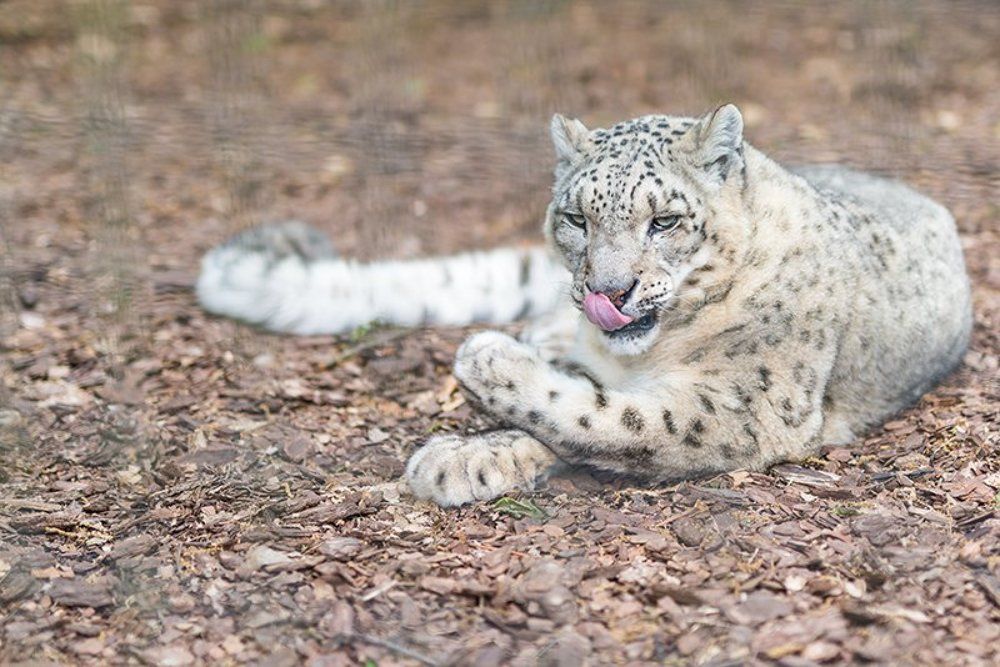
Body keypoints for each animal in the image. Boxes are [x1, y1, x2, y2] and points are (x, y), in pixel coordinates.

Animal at [197, 104, 972, 507]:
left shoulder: (741, 406)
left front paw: (480, 377)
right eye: (576, 218)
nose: (607, 291)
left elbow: (610, 418)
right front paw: (469, 450)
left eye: (665, 221)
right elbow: (576, 399)